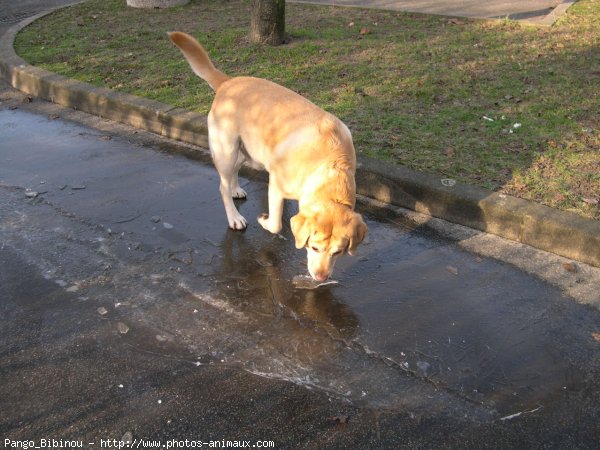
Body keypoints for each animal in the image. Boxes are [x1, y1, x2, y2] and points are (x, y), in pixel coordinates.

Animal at [168, 31, 366, 280]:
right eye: (313, 247)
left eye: (338, 252)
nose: (320, 278)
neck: (330, 166)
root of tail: (227, 82)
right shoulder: (276, 186)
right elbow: (276, 225)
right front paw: (263, 220)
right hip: (226, 150)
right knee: (222, 186)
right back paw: (234, 217)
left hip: (248, 152)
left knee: (233, 175)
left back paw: (235, 189)